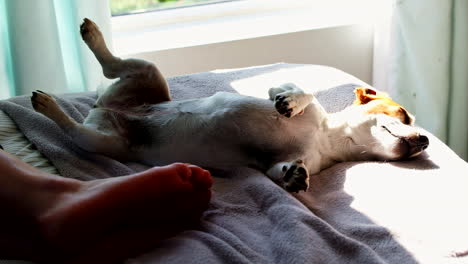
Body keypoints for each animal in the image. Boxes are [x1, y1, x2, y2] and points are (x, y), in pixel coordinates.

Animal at [31, 18, 430, 192]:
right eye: (403, 114)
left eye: (411, 120)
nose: (426, 140)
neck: (324, 136)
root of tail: (104, 109)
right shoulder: (278, 86)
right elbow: (299, 91)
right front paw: (292, 103)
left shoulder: (282, 161)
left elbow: (281, 170)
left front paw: (294, 177)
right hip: (143, 82)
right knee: (102, 74)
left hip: (110, 134)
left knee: (80, 120)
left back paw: (50, 104)